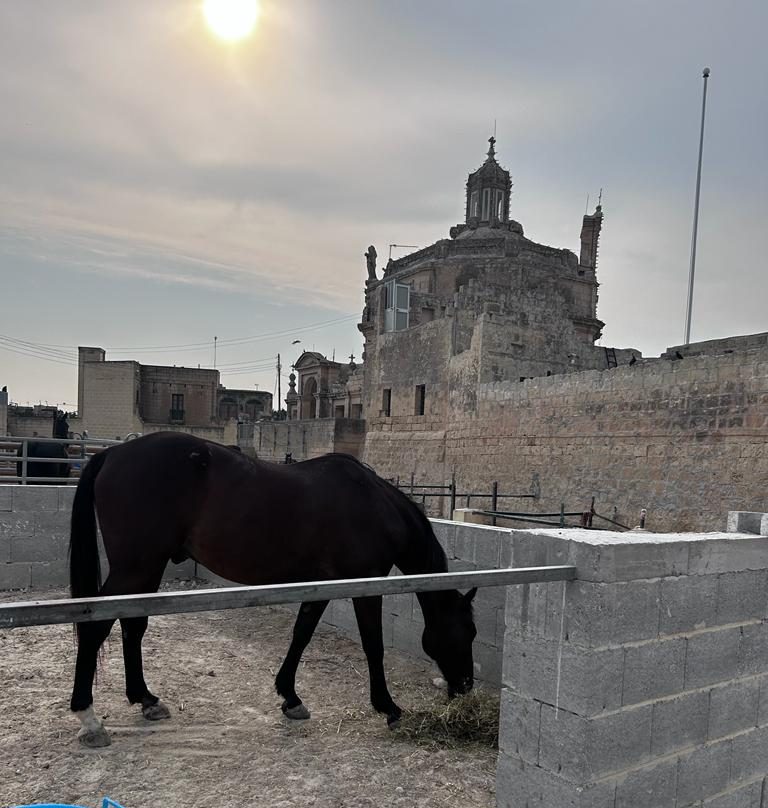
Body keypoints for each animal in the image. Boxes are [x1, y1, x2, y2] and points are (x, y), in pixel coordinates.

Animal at [69, 432, 476, 748]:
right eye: (467, 633)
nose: (465, 688)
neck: (373, 504)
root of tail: (112, 454)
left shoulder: (322, 584)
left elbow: (302, 633)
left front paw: (290, 698)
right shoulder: (366, 584)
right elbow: (373, 646)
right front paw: (389, 708)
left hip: (145, 569)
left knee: (132, 626)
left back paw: (145, 699)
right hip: (135, 568)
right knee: (95, 627)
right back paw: (89, 717)